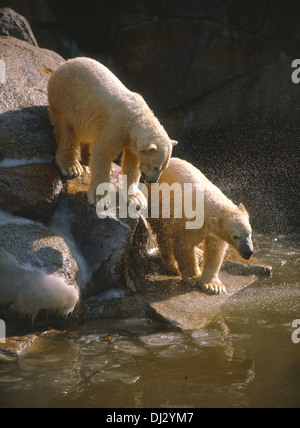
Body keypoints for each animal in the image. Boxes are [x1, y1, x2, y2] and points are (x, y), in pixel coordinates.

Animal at [47, 57, 177, 206]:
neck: (136, 117)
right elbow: (102, 152)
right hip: (66, 99)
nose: (153, 181)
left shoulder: (131, 141)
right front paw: (100, 198)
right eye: (156, 167)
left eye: (164, 168)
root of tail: (64, 63)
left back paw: (88, 157)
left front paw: (136, 198)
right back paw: (72, 167)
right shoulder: (115, 127)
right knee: (67, 131)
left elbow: (132, 164)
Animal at [148, 157, 253, 294]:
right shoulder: (186, 220)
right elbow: (183, 244)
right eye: (235, 236)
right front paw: (193, 277)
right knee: (163, 233)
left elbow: (215, 249)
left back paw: (198, 253)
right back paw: (173, 265)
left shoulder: (213, 230)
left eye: (249, 232)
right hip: (156, 203)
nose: (248, 252)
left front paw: (214, 286)